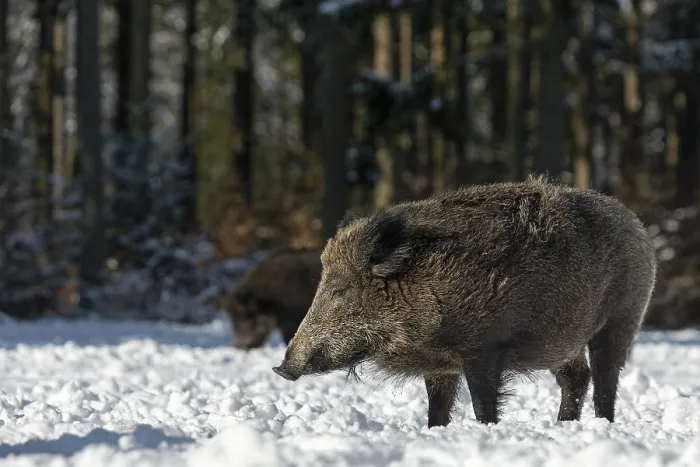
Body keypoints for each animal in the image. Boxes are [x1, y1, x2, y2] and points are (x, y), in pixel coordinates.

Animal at [272, 175, 657, 428]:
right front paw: (435, 432)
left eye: (341, 291)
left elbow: (482, 404)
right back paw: (563, 426)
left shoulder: (483, 349)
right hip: (562, 341)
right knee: (577, 378)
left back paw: (601, 426)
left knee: (606, 375)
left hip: (623, 316)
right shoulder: (439, 365)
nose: (282, 368)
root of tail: (636, 223)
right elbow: (437, 409)